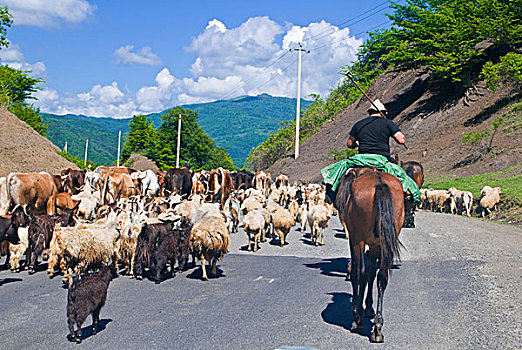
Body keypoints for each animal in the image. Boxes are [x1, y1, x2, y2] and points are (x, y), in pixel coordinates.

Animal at [336, 168, 404, 344]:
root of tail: (380, 184)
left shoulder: (355, 240)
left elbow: (358, 273)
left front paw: (358, 311)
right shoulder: (375, 246)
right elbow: (371, 273)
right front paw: (368, 307)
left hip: (358, 239)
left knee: (360, 273)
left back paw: (358, 319)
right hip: (386, 241)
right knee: (382, 277)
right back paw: (378, 327)